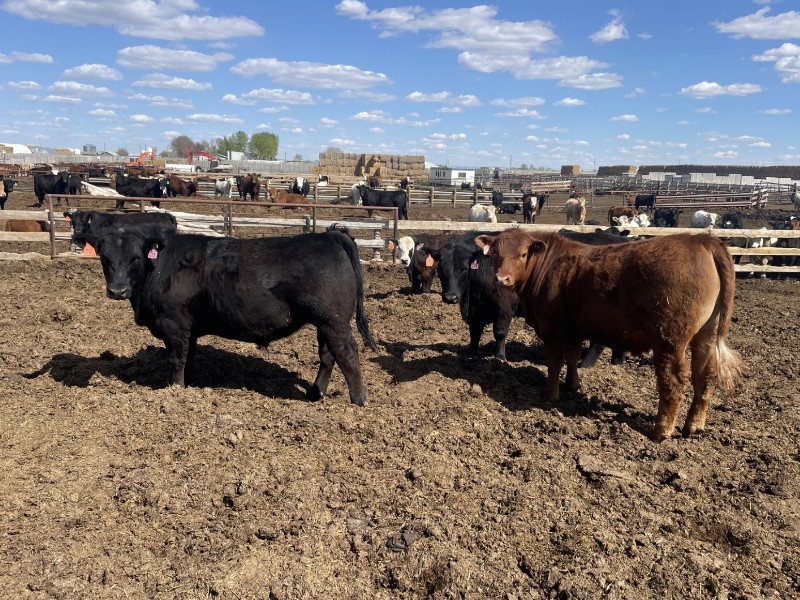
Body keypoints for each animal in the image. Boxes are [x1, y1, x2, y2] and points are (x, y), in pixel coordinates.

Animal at [83, 225, 377, 406]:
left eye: (135, 258)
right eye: (104, 257)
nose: (117, 290)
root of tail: (329, 236)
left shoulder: (174, 324)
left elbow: (177, 359)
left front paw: (175, 390)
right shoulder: (189, 328)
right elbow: (189, 357)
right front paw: (190, 385)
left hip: (333, 320)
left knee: (348, 355)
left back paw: (357, 400)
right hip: (325, 323)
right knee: (328, 355)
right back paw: (315, 393)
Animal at [475, 229, 743, 442]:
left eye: (523, 254)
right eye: (495, 253)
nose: (502, 278)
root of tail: (702, 239)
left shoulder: (552, 328)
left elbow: (554, 362)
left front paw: (550, 395)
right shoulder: (573, 329)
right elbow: (572, 356)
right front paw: (573, 385)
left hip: (669, 340)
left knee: (674, 380)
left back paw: (662, 430)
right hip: (706, 334)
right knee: (705, 374)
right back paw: (694, 425)